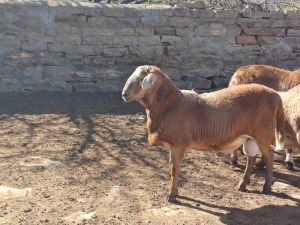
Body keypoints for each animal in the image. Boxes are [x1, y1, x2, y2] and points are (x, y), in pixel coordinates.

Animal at [121, 65, 284, 202]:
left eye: (141, 79)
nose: (124, 94)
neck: (171, 105)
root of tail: (276, 96)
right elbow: (171, 168)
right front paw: (173, 192)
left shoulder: (178, 145)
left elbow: (174, 169)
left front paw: (172, 195)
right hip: (249, 137)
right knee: (252, 158)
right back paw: (242, 184)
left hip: (263, 134)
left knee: (269, 156)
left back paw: (266, 187)